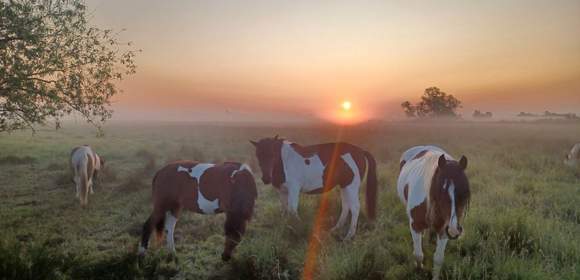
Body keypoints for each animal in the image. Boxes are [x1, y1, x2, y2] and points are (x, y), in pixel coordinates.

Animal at [248, 137, 376, 240]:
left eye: (272, 154)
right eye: (258, 155)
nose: (266, 179)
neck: (284, 161)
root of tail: (361, 151)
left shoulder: (294, 188)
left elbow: (292, 209)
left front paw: (299, 228)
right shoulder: (282, 191)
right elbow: (284, 210)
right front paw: (286, 227)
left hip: (351, 186)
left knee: (355, 208)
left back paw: (349, 236)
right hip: (344, 186)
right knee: (346, 206)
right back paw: (335, 229)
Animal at [396, 147, 468, 280]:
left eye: (464, 192)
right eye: (441, 191)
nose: (454, 230)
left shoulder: (443, 230)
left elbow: (438, 259)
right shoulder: (415, 226)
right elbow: (418, 255)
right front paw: (419, 270)